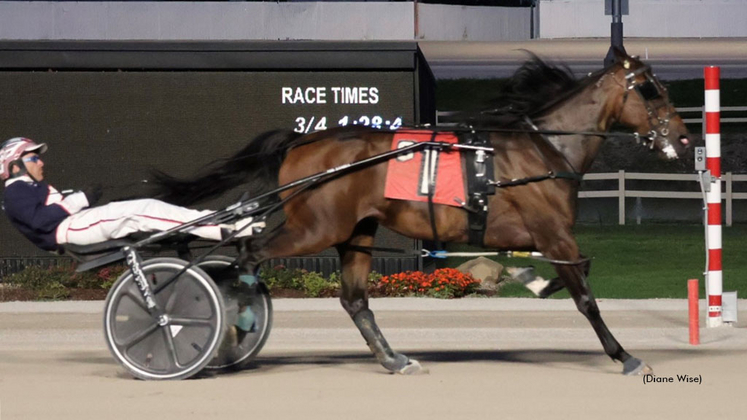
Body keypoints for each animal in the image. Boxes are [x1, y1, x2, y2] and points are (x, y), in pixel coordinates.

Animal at [152, 50, 688, 378]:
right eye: (651, 90)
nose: (684, 139)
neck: (543, 149)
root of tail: (303, 141)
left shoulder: (543, 237)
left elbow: (571, 275)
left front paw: (533, 281)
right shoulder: (554, 234)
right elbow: (586, 297)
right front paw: (624, 355)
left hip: (356, 232)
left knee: (354, 300)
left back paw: (393, 359)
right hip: (315, 228)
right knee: (249, 252)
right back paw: (235, 323)